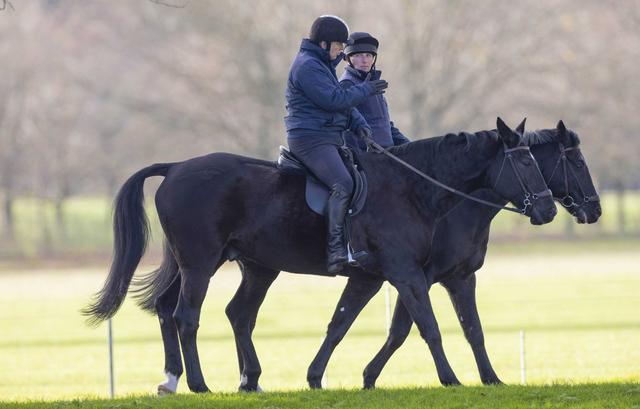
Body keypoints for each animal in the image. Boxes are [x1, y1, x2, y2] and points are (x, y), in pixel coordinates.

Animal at [84, 117, 556, 392]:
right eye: (525, 163)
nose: (550, 209)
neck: (411, 187)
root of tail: (177, 167)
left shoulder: (372, 276)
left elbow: (341, 324)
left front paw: (316, 377)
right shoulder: (407, 273)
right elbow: (429, 327)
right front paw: (451, 379)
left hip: (237, 266)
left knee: (199, 312)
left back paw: (188, 380)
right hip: (201, 264)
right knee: (187, 316)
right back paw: (201, 384)